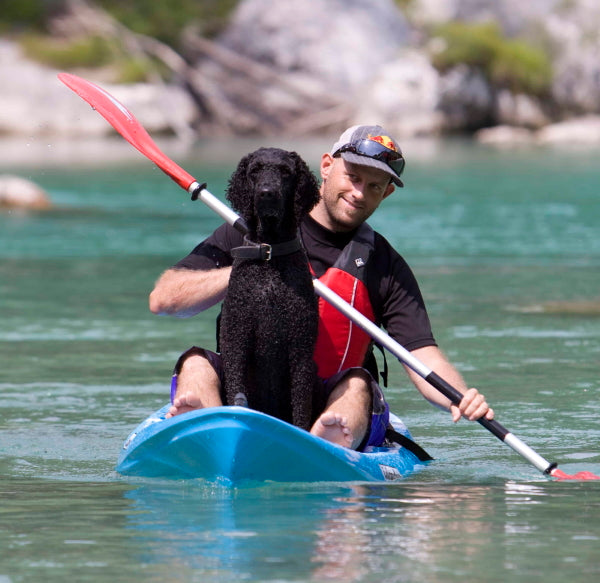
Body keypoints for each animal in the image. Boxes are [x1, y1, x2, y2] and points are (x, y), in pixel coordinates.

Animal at [220, 147, 324, 428]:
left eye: (286, 172)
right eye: (255, 170)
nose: (267, 193)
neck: (270, 256)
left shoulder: (301, 351)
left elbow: (301, 415)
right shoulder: (236, 340)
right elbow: (236, 393)